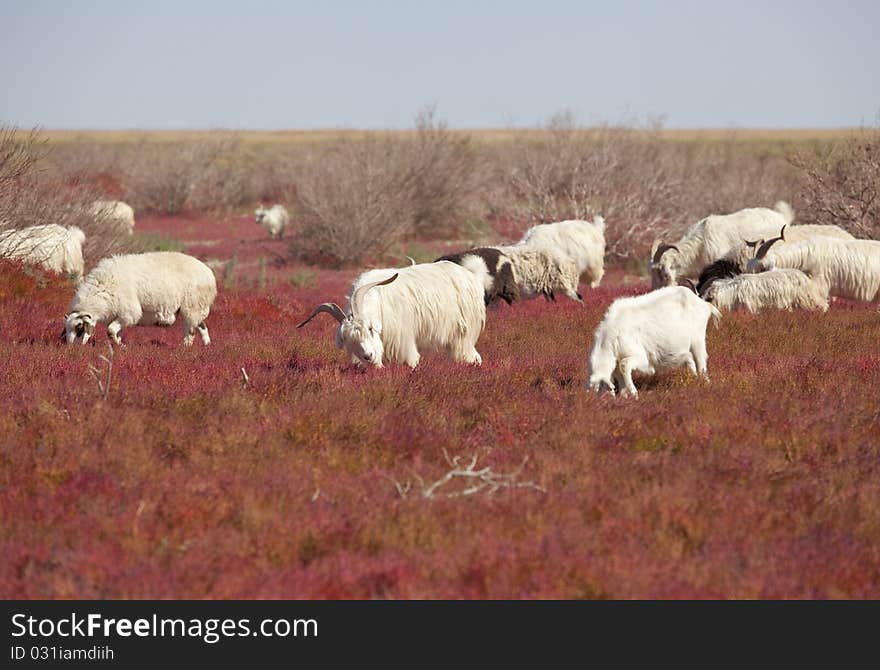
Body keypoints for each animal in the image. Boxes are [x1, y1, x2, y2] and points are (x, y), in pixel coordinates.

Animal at [64, 252, 218, 346]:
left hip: (193, 305)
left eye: (79, 327)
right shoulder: (120, 314)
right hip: (194, 307)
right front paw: (119, 345)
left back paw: (185, 348)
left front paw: (121, 346)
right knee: (201, 326)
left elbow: (110, 331)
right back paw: (207, 346)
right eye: (66, 329)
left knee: (190, 330)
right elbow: (117, 332)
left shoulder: (129, 312)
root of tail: (208, 273)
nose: (71, 347)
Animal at [300, 262, 484, 368]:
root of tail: (470, 276)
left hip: (464, 335)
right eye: (349, 340)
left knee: (469, 355)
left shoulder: (403, 343)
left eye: (370, 329)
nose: (368, 356)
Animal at [584, 288, 720, 400]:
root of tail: (705, 304)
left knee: (701, 364)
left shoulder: (641, 357)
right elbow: (621, 377)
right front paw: (625, 396)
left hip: (698, 340)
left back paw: (704, 384)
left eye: (599, 388)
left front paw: (634, 393)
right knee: (690, 360)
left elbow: (624, 365)